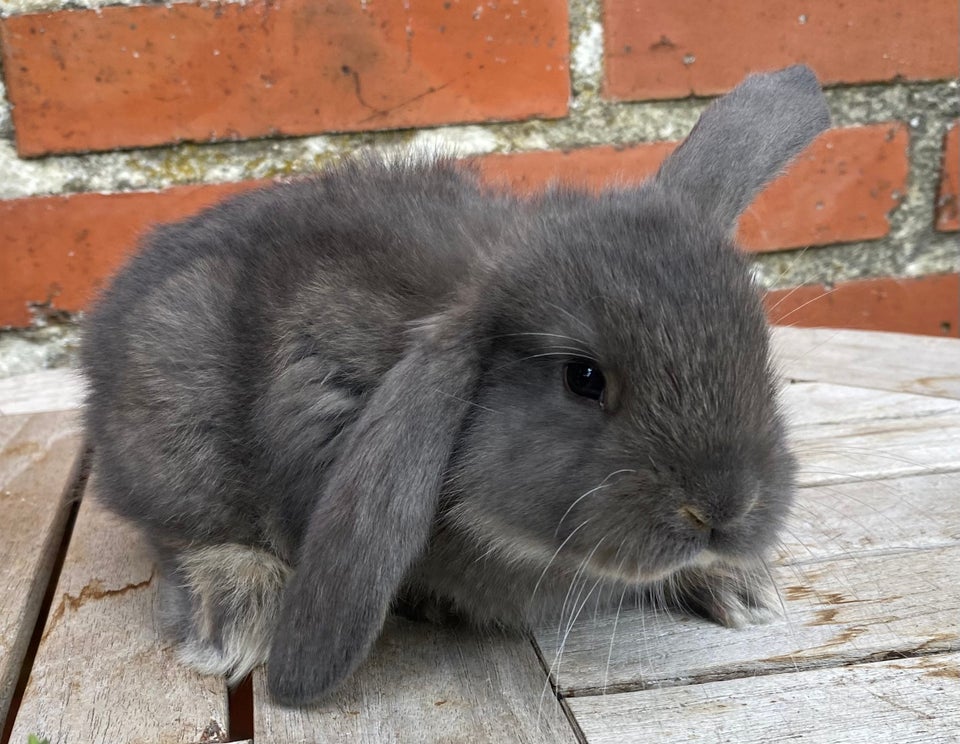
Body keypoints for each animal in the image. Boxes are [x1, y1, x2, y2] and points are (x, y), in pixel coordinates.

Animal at [82, 62, 828, 704]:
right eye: (583, 378)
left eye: (758, 348)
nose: (723, 509)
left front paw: (737, 586)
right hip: (174, 421)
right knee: (181, 531)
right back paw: (237, 608)